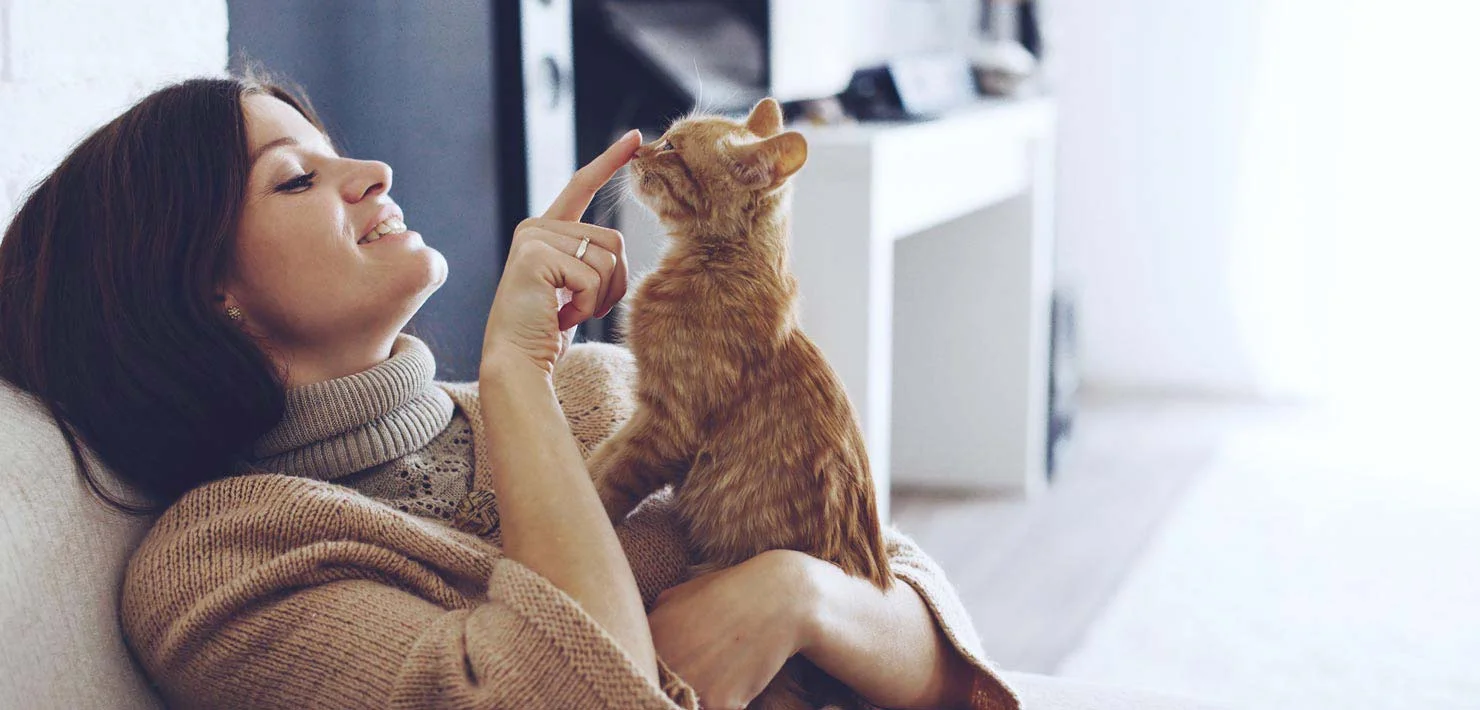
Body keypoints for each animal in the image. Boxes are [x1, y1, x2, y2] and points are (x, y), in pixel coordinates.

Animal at [586, 96, 888, 707]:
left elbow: (610, 478)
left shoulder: (665, 424)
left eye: (673, 149)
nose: (638, 148)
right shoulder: (646, 415)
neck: (715, 264)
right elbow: (603, 455)